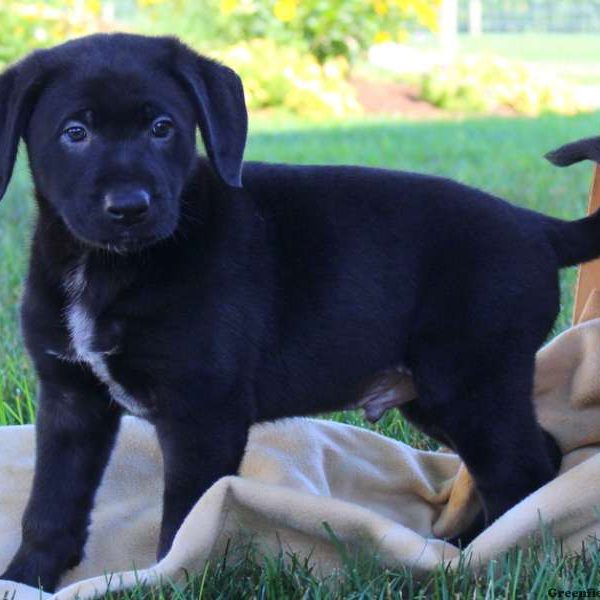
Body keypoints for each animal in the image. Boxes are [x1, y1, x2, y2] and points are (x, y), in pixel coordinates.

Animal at [0, 34, 592, 592]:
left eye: (163, 128)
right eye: (75, 132)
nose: (129, 208)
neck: (108, 270)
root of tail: (536, 227)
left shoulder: (202, 415)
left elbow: (185, 522)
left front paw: (166, 582)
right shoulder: (69, 400)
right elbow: (50, 504)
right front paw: (27, 577)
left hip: (470, 385)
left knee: (522, 474)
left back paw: (489, 562)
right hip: (439, 397)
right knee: (538, 456)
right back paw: (460, 546)